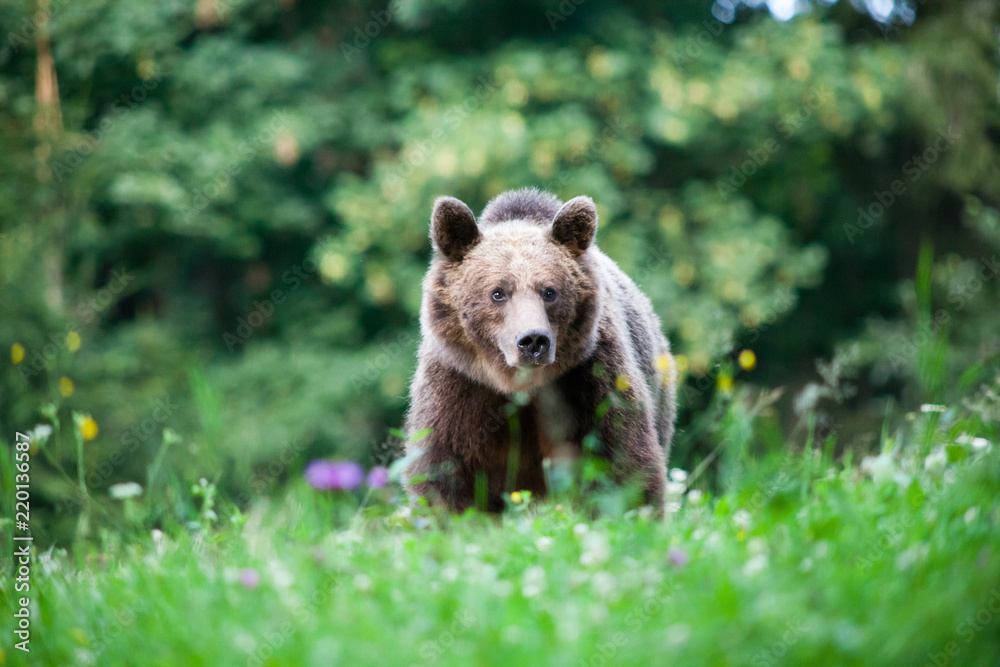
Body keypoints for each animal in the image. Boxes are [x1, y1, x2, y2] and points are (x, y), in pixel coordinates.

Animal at [403, 188, 677, 513]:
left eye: (550, 291)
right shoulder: (461, 385)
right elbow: (444, 470)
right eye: (498, 293)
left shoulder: (589, 378)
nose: (533, 340)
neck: (518, 385)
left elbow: (621, 460)